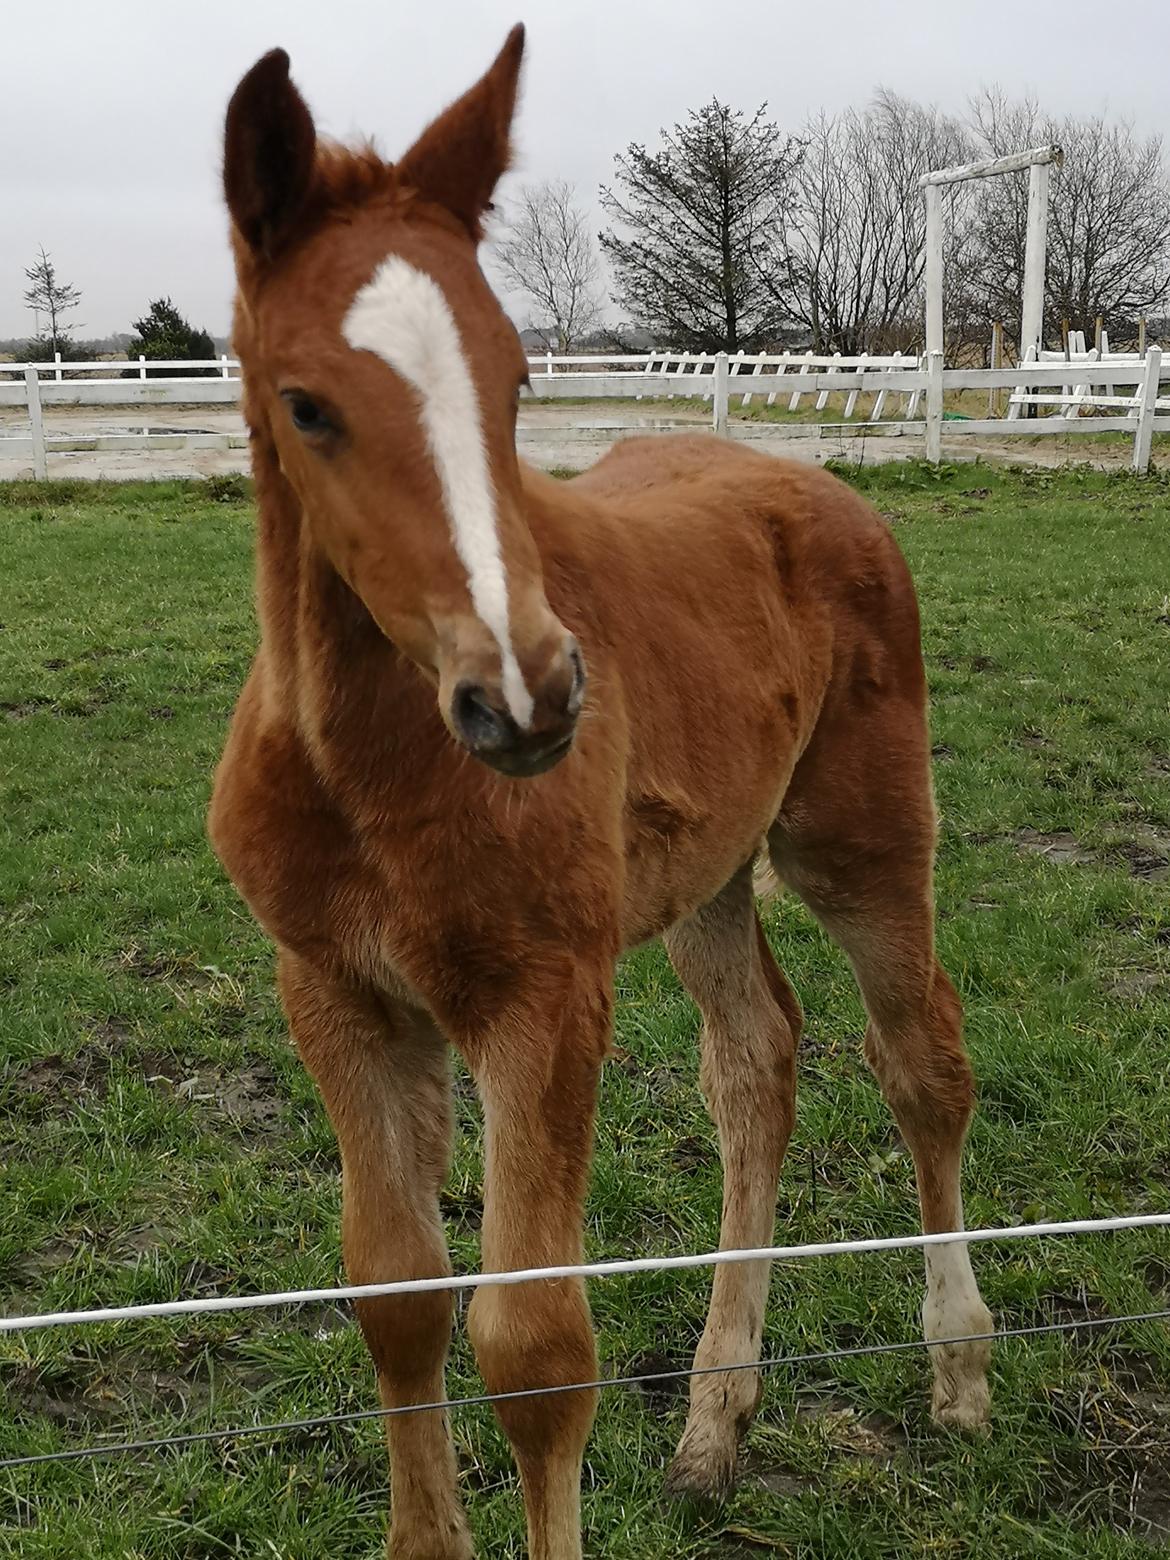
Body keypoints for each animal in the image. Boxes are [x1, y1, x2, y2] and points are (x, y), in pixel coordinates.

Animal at [209, 27, 992, 1560]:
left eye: (518, 380)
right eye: (307, 404)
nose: (529, 698)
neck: (363, 770)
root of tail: (818, 487)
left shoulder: (543, 999)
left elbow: (534, 1353)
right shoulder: (334, 994)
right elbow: (395, 1299)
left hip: (856, 840)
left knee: (919, 1059)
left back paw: (959, 1373)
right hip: (706, 875)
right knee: (756, 1066)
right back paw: (713, 1426)